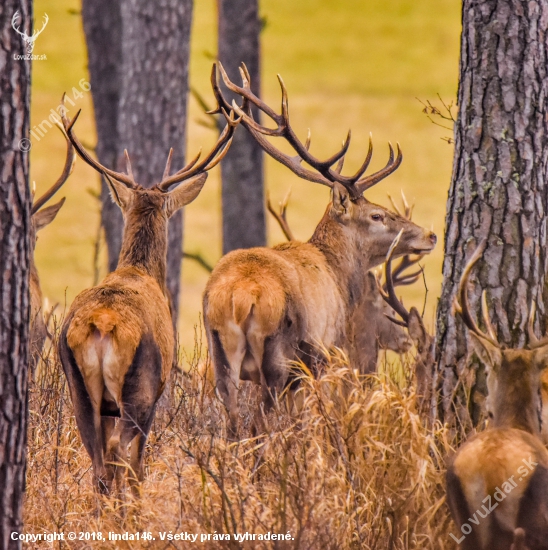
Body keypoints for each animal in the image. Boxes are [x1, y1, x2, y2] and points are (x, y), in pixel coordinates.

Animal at [57, 101, 240, 498]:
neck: (141, 270)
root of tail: (101, 324)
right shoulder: (158, 390)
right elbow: (138, 460)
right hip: (139, 387)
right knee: (122, 453)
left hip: (80, 389)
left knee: (98, 460)